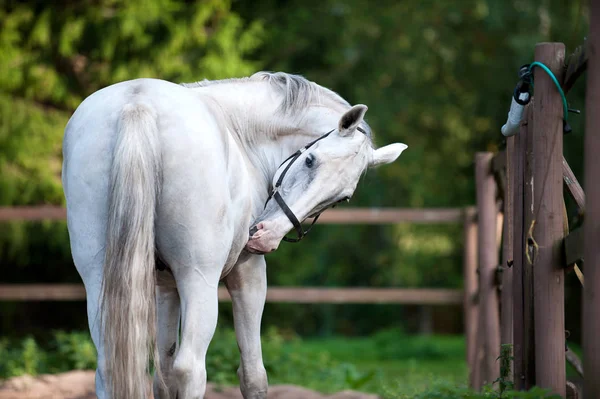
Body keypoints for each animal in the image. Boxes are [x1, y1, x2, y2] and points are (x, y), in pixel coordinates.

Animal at [61, 72, 406, 399]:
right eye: (310, 160)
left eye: (342, 198)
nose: (265, 236)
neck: (242, 132)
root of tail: (138, 104)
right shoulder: (248, 272)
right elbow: (253, 376)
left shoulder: (164, 286)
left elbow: (163, 377)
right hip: (199, 277)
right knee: (191, 369)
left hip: (101, 278)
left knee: (112, 367)